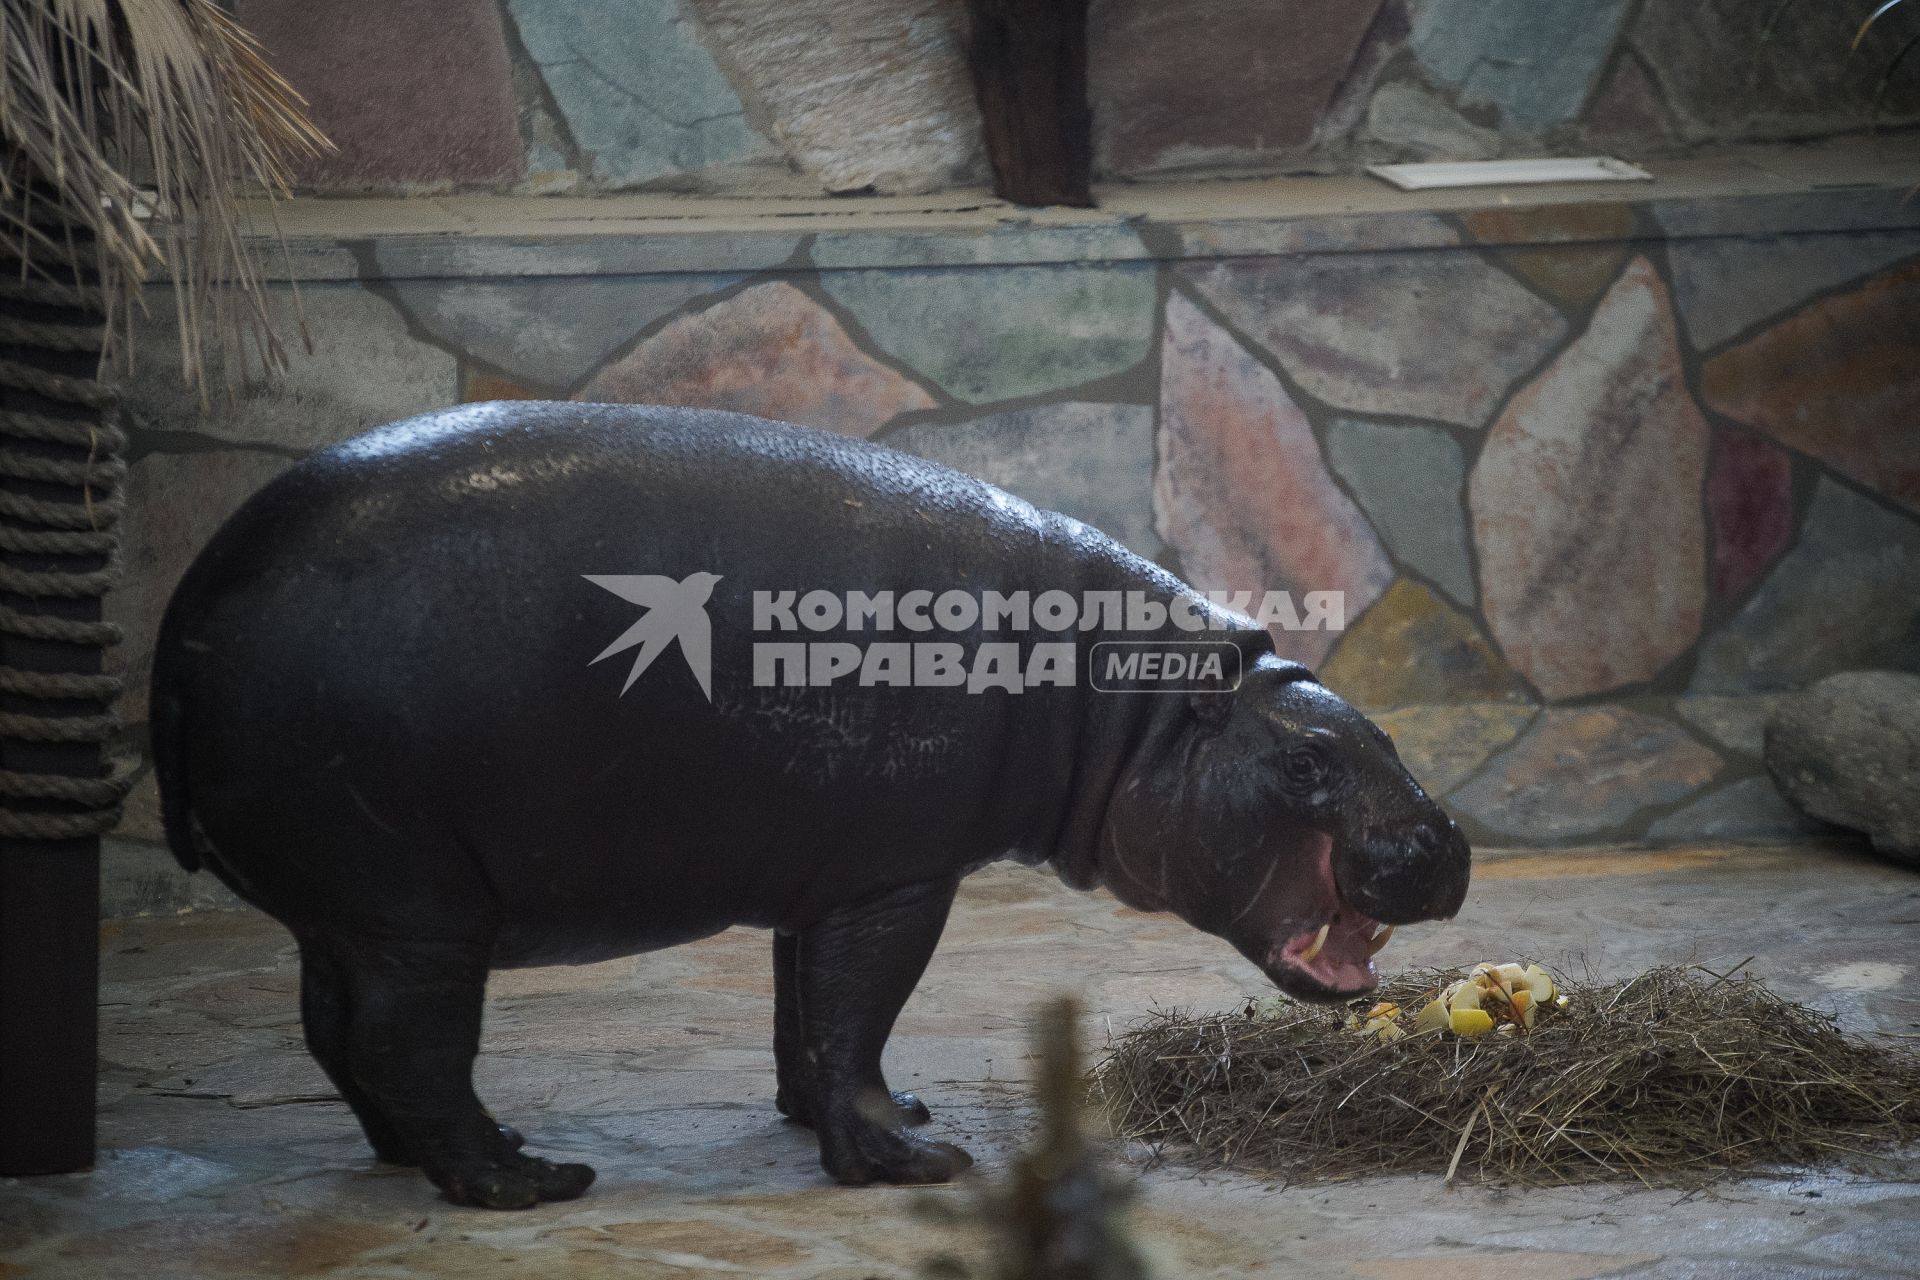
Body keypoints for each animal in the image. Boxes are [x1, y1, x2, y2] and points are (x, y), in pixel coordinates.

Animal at [153, 402, 1466, 1212]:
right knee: (405, 1040)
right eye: (1307, 762)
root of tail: (192, 594)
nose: (1447, 840)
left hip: (352, 903)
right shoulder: (895, 874)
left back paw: (432, 1154)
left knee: (336, 1029)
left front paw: (836, 1119)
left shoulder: (821, 868)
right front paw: (917, 1156)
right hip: (419, 909)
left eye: (1388, 732)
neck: (1124, 709)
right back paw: (530, 1180)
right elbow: (859, 1010)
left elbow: (805, 1008)